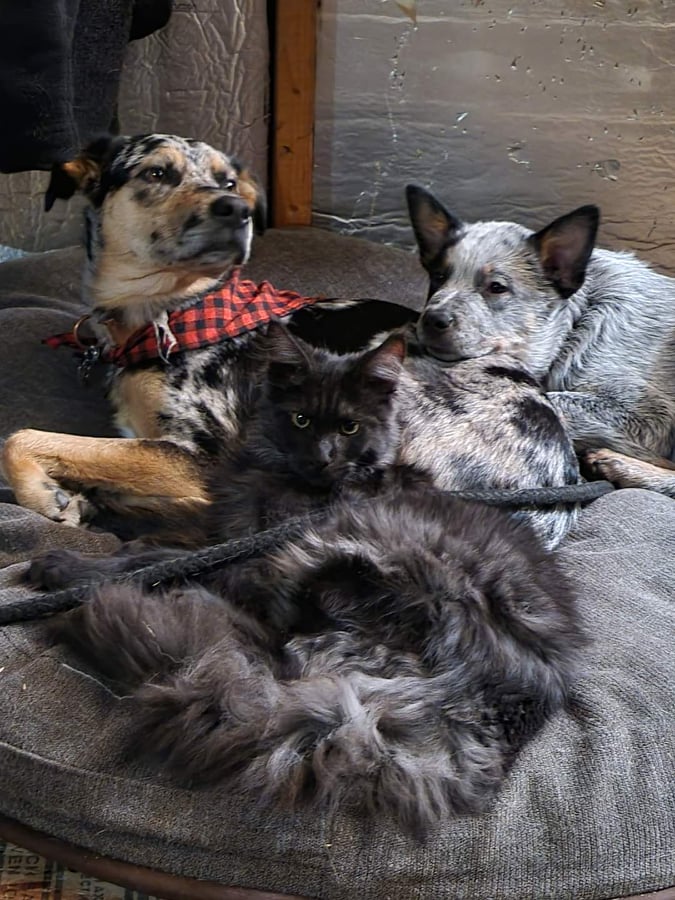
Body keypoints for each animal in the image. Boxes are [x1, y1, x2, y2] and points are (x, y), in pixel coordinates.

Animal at [406, 185, 675, 496]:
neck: (574, 331)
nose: (431, 319)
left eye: (496, 287)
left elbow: (551, 401)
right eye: (438, 277)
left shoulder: (650, 413)